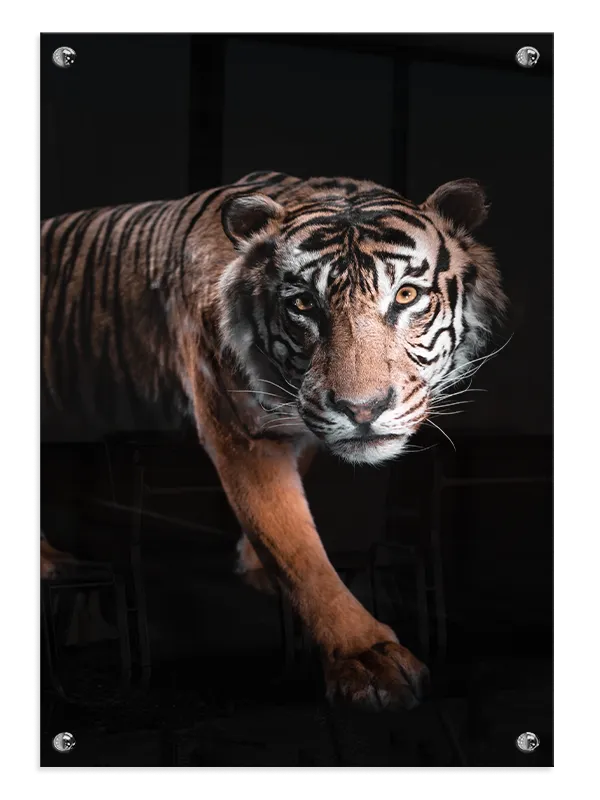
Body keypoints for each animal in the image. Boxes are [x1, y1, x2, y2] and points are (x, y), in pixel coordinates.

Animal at [40, 170, 506, 710]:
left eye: (407, 297)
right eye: (303, 304)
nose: (363, 409)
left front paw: (255, 567)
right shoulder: (244, 436)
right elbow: (292, 544)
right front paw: (365, 658)